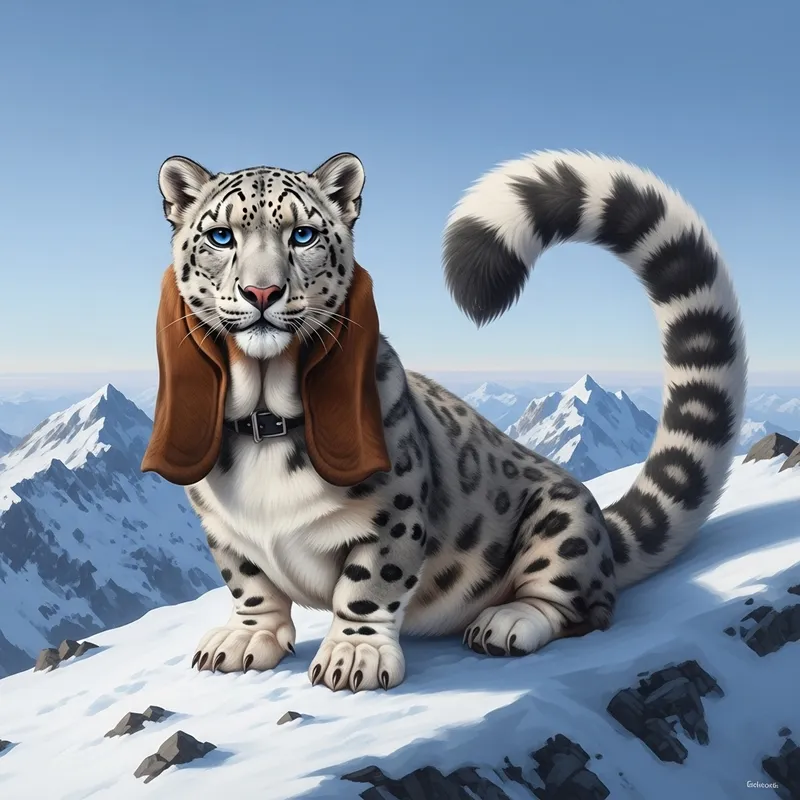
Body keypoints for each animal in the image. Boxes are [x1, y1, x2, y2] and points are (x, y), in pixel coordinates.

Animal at [143, 149, 746, 692]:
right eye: (221, 237)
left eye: (303, 236)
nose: (262, 291)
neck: (264, 416)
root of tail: (601, 523)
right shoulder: (223, 531)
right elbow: (249, 582)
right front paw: (246, 637)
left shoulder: (394, 510)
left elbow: (370, 582)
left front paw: (355, 654)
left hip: (561, 521)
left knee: (584, 604)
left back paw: (507, 622)